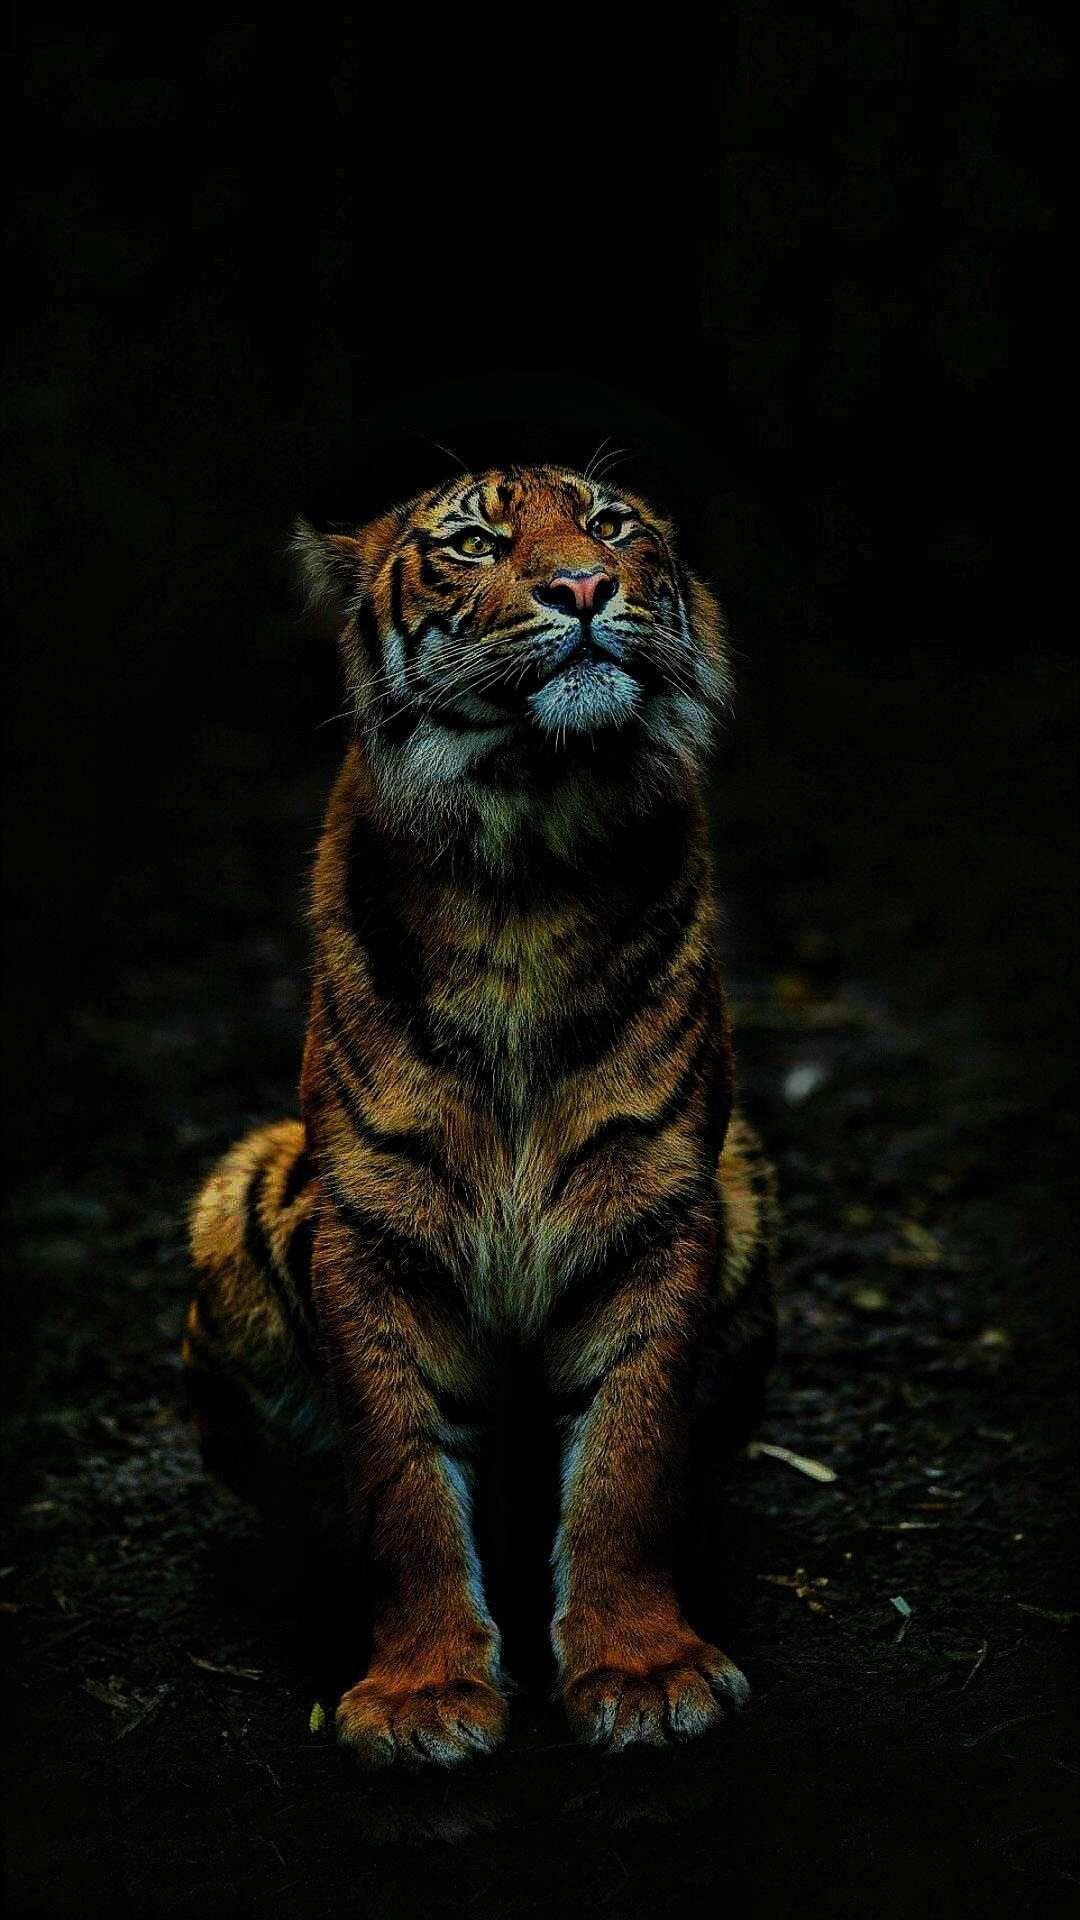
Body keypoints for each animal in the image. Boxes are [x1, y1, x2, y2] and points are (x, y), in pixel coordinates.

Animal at [184, 462, 778, 1768]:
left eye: (611, 525)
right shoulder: (374, 1226)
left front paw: (642, 1671)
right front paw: (420, 1695)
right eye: (471, 543)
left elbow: (625, 1462)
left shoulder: (659, 1205)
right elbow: (403, 1479)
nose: (586, 586)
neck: (529, 854)